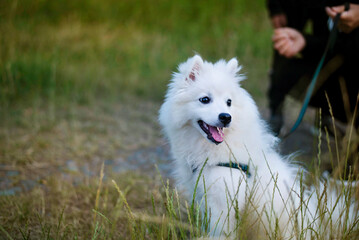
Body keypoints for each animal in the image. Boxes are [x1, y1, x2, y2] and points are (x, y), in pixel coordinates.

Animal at [159, 55, 358, 238]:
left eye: (228, 102)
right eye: (205, 99)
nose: (226, 117)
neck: (216, 150)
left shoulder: (224, 201)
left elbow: (220, 232)